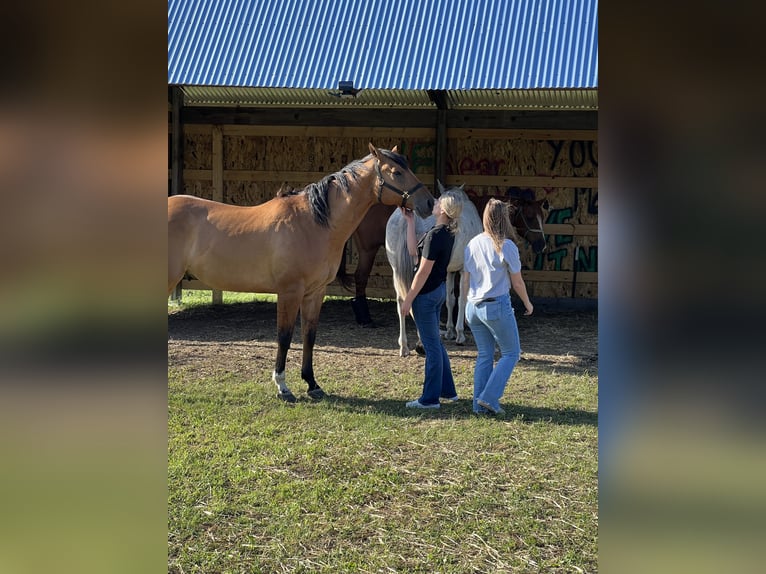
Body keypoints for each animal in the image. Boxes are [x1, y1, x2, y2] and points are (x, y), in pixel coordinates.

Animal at [168, 143, 435, 402]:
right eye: (397, 172)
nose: (429, 203)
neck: (312, 222)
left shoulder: (315, 293)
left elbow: (309, 336)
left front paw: (312, 384)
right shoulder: (290, 292)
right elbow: (285, 337)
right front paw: (282, 387)